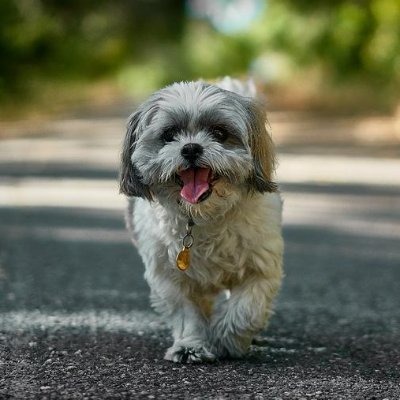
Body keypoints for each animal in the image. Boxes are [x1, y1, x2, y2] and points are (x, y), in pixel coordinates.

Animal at [120, 77, 282, 362]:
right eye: (169, 135)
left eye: (219, 133)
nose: (191, 148)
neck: (203, 218)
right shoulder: (169, 276)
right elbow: (186, 313)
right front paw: (190, 346)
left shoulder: (260, 268)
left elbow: (246, 308)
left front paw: (227, 340)